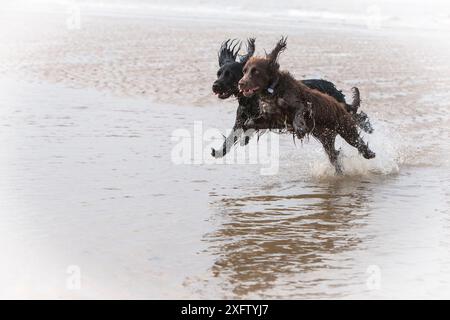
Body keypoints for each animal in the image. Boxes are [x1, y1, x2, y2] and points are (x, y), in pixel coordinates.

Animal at [211, 38, 372, 158]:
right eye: (219, 73)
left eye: (230, 74)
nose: (215, 86)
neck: (251, 99)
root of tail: (333, 87)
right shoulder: (241, 120)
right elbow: (231, 138)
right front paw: (219, 151)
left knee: (357, 116)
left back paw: (367, 127)